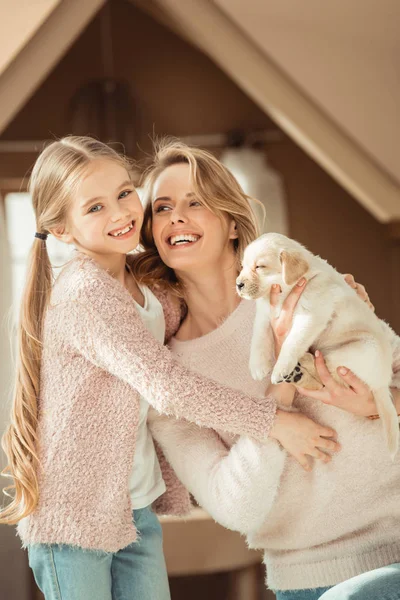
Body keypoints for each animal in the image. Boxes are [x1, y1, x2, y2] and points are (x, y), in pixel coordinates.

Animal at [236, 233, 398, 454]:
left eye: (259, 267)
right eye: (243, 266)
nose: (238, 285)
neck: (286, 291)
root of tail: (382, 383)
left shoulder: (310, 316)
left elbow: (291, 343)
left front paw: (280, 368)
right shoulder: (264, 314)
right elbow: (258, 337)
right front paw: (258, 366)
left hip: (358, 349)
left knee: (327, 372)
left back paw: (299, 370)